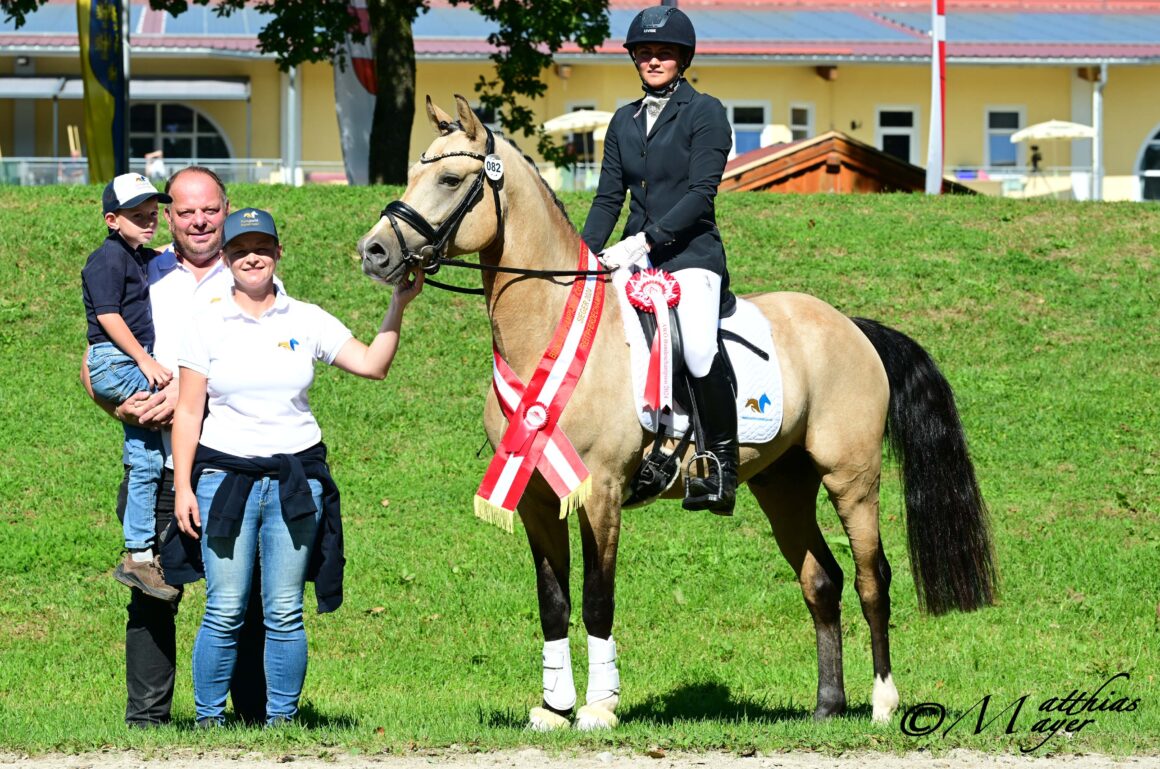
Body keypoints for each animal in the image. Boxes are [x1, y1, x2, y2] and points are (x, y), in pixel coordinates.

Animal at [354, 96, 997, 733]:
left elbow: (597, 597)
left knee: (871, 577)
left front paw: (599, 706)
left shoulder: (601, 492)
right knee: (821, 580)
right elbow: (553, 602)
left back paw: (883, 703)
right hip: (783, 484)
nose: (374, 252)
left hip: (852, 478)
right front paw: (554, 708)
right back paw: (827, 705)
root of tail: (852, 326)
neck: (549, 332)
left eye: (450, 180)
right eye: (412, 175)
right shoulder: (537, 495)